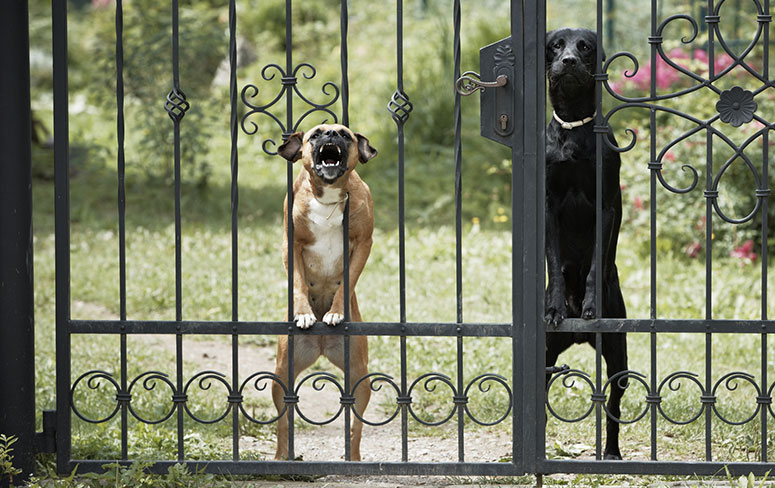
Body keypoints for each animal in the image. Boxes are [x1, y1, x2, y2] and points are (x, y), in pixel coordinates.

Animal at [276, 123, 378, 462]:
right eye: (315, 134)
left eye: (345, 135)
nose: (331, 134)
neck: (329, 198)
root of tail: (321, 345)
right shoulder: (290, 245)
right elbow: (297, 282)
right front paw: (304, 314)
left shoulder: (363, 244)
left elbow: (347, 282)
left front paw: (336, 312)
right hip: (281, 377)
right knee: (283, 424)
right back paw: (282, 458)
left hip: (359, 378)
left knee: (355, 428)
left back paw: (353, 459)